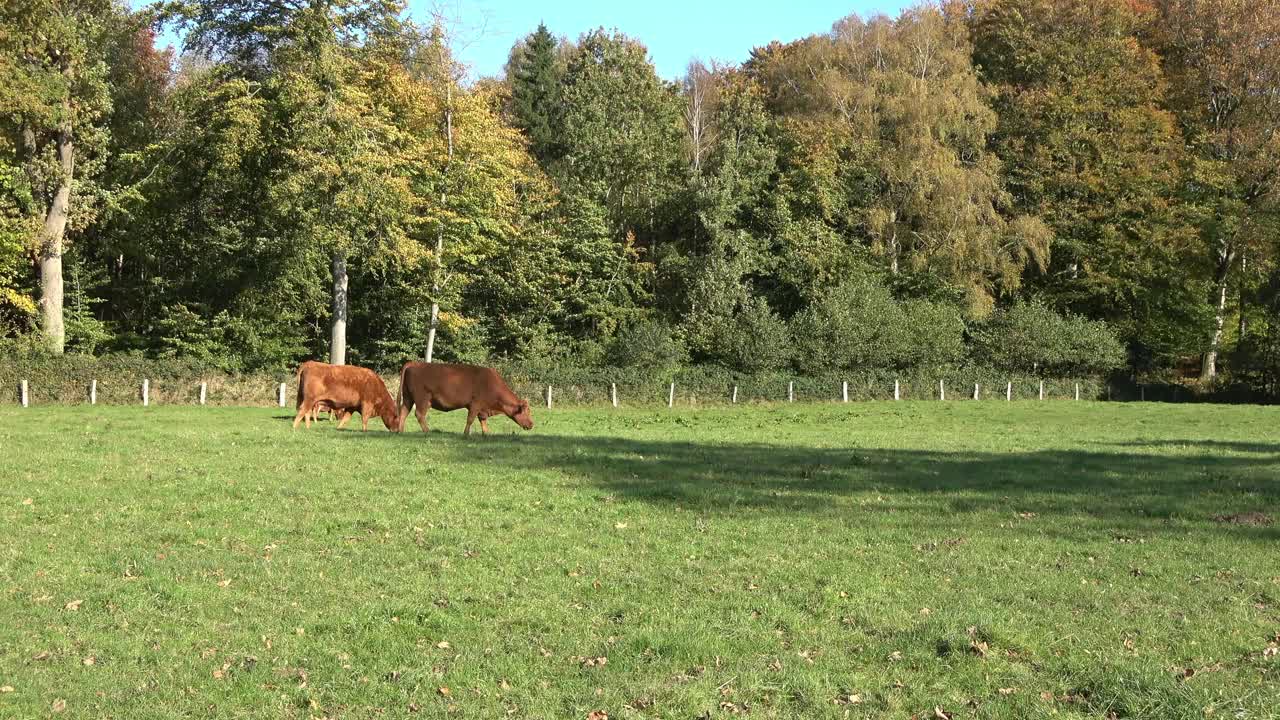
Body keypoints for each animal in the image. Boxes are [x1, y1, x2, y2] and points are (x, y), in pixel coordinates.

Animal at [396, 361, 532, 435]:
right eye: (526, 412)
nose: (532, 424)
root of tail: (416, 363)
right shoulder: (475, 404)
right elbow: (470, 420)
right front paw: (466, 434)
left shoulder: (482, 409)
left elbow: (482, 421)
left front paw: (486, 434)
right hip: (423, 399)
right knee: (419, 414)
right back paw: (427, 431)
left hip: (408, 398)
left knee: (403, 412)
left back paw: (400, 431)